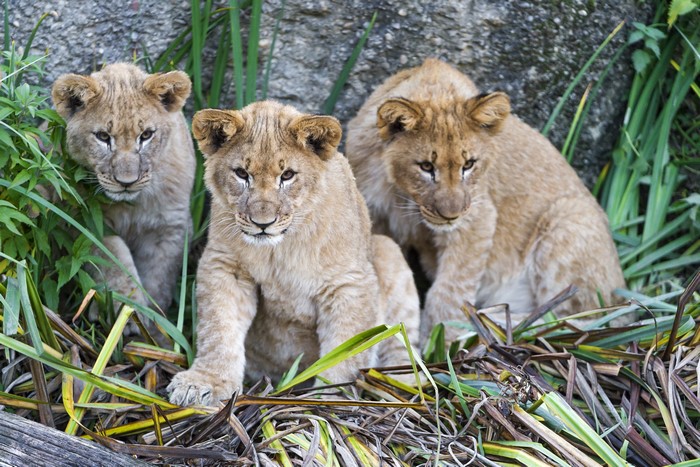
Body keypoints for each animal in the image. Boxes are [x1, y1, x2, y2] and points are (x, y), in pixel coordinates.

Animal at [51, 63, 195, 334]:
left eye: (146, 135)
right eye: (103, 137)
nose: (126, 182)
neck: (133, 205)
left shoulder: (170, 227)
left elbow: (159, 278)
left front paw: (155, 329)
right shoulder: (87, 221)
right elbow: (114, 259)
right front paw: (128, 313)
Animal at [167, 101, 420, 406]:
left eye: (287, 176)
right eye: (241, 174)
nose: (262, 223)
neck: (279, 249)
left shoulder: (349, 282)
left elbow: (345, 347)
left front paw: (331, 398)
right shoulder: (226, 266)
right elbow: (218, 328)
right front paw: (205, 382)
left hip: (387, 249)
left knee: (401, 341)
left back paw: (404, 385)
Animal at [346, 58, 626, 338]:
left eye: (469, 164)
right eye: (426, 167)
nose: (451, 215)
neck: (402, 194)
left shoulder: (478, 217)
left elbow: (448, 292)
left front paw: (439, 341)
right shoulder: (376, 215)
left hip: (568, 218)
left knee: (586, 318)